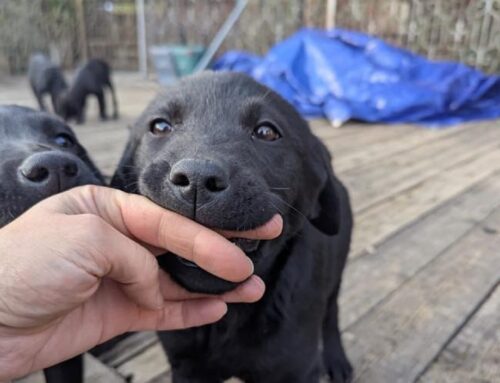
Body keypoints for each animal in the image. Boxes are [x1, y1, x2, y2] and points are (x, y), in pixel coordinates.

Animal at [112, 73, 356, 383]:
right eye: (160, 126)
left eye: (266, 132)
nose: (197, 179)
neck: (226, 319)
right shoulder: (187, 368)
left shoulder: (296, 369)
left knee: (331, 312)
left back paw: (337, 359)